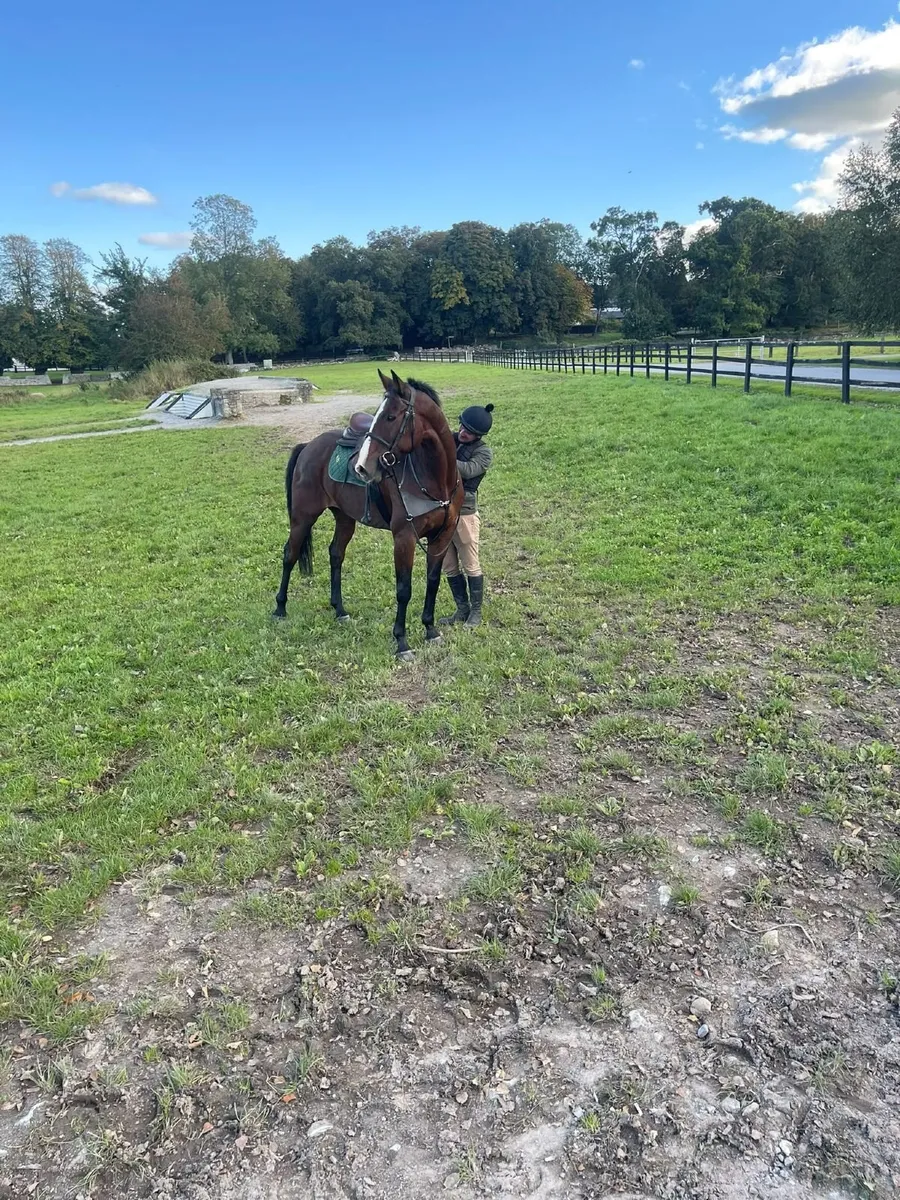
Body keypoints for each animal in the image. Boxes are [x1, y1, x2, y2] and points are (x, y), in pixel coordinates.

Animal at [273, 369, 464, 660]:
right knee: (289, 555)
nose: (362, 468)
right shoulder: (404, 538)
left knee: (335, 554)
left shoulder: (443, 535)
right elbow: (404, 590)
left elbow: (433, 582)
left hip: (344, 518)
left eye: (391, 416)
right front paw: (402, 642)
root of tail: (308, 446)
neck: (434, 480)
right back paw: (280, 608)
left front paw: (430, 630)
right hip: (303, 518)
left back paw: (339, 610)